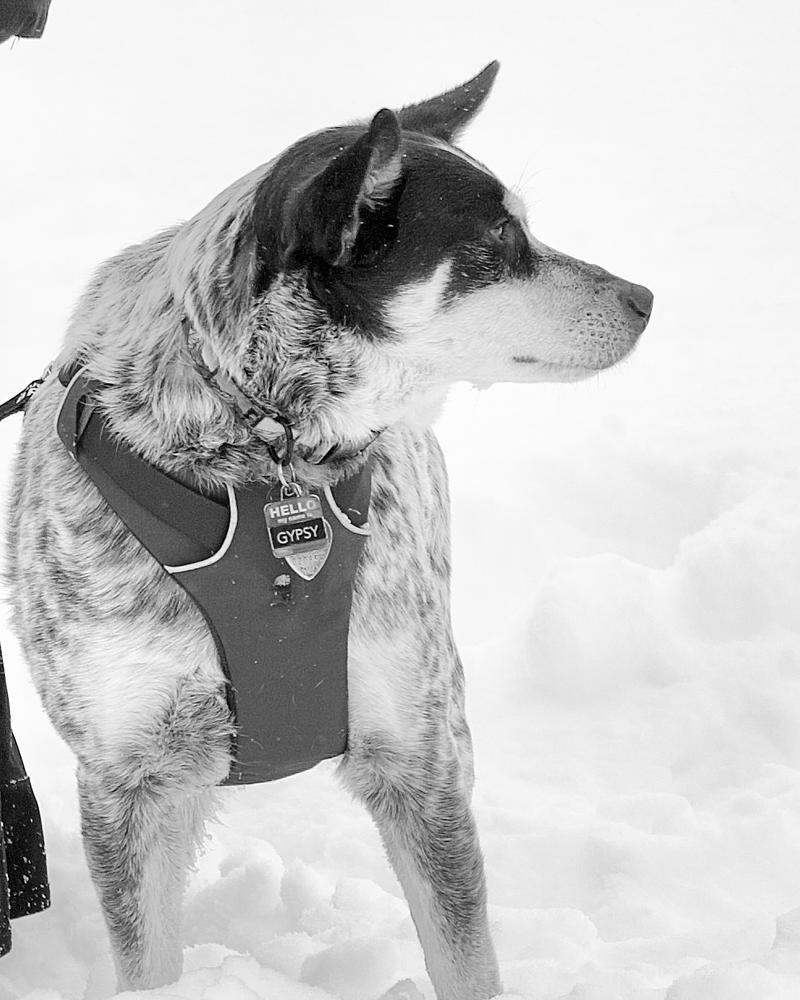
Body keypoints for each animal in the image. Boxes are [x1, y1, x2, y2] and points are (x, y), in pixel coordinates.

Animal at [5, 62, 652, 999]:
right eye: (498, 239)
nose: (646, 297)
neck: (264, 457)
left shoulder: (423, 755)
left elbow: (465, 956)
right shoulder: (129, 775)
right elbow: (150, 960)